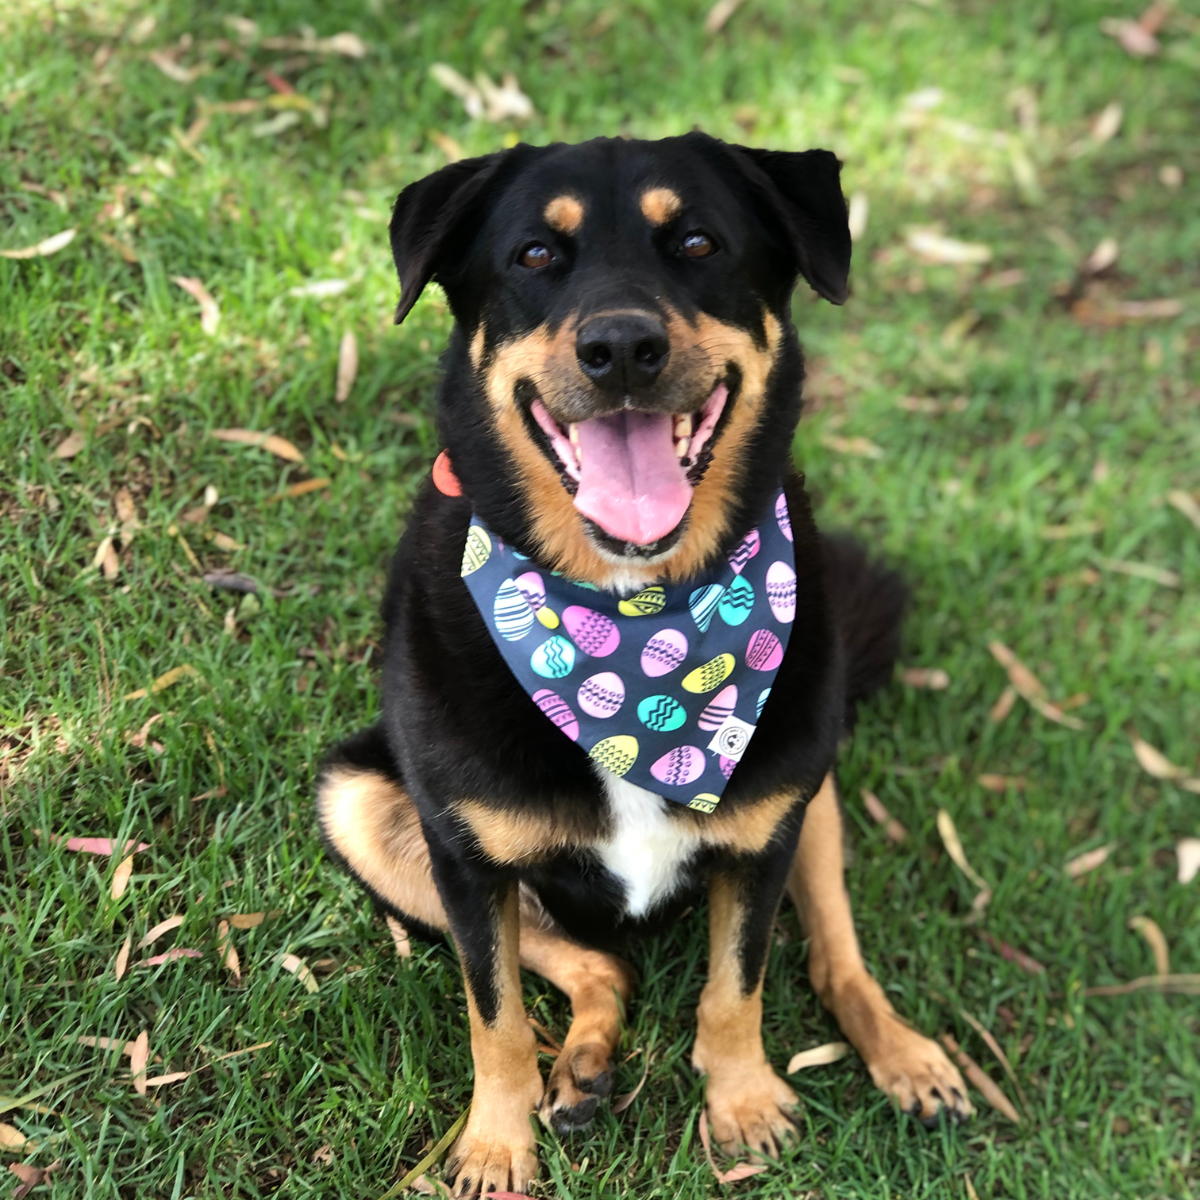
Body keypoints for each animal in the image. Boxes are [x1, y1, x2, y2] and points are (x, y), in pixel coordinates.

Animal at [314, 131, 969, 1190]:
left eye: (698, 241)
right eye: (535, 254)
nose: (621, 347)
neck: (630, 608)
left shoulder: (766, 829)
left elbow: (737, 985)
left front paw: (743, 1103)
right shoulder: (462, 858)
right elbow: (494, 1015)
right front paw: (494, 1145)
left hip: (813, 788)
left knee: (833, 958)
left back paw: (906, 1055)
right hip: (359, 801)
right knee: (601, 965)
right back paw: (580, 1068)